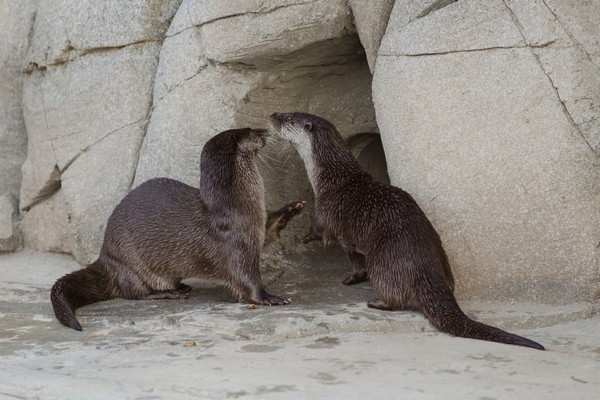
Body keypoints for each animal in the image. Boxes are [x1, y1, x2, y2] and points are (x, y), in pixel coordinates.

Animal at [50, 128, 304, 332]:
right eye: (251, 131)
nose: (265, 130)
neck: (238, 205)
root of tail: (104, 256)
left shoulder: (256, 226)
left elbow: (270, 230)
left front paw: (292, 208)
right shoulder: (235, 243)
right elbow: (245, 278)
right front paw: (269, 297)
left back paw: (181, 285)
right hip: (128, 263)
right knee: (134, 292)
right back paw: (171, 293)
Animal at [270, 112, 548, 350]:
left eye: (289, 118)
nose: (273, 115)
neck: (331, 178)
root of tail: (423, 268)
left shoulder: (330, 218)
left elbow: (329, 239)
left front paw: (309, 240)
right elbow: (355, 261)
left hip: (383, 258)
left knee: (394, 296)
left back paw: (376, 302)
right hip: (440, 254)